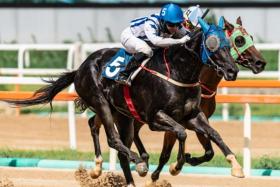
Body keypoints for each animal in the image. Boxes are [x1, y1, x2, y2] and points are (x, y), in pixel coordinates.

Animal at [2, 17, 238, 186]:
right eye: (213, 45)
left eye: (229, 45)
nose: (233, 71)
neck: (178, 72)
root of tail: (81, 67)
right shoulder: (155, 118)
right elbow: (180, 133)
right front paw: (176, 166)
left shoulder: (192, 115)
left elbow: (214, 134)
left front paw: (235, 165)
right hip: (101, 102)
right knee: (114, 140)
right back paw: (138, 163)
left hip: (123, 114)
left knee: (105, 132)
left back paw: (111, 170)